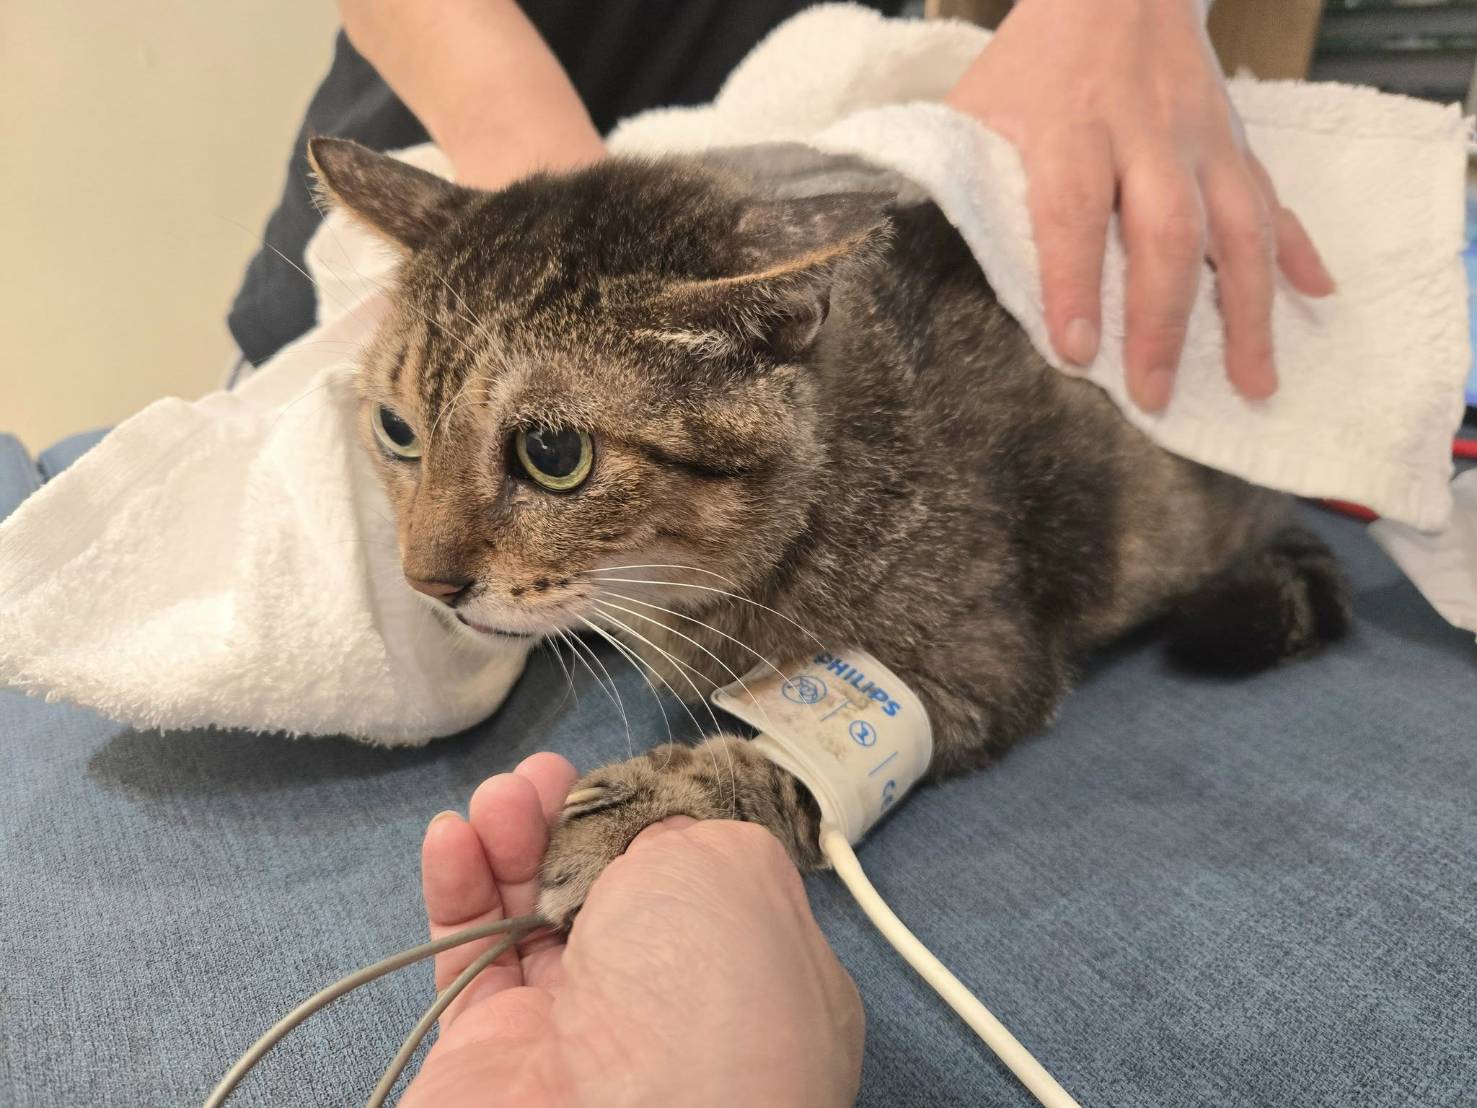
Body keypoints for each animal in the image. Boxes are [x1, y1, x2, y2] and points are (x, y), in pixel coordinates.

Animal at [308, 136, 1349, 927]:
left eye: (553, 452)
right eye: (396, 430)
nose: (426, 583)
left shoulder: (979, 671)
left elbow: (789, 763)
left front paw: (650, 805)